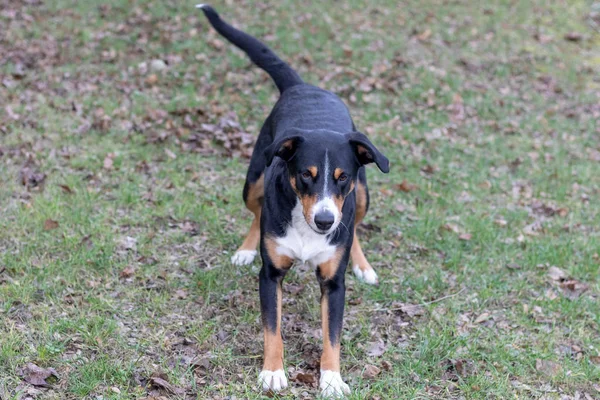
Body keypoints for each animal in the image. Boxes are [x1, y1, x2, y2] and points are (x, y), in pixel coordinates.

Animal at [199, 3, 390, 396]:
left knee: (356, 224)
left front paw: (331, 379)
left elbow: (332, 336)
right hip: (253, 180)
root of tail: (303, 86)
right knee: (256, 210)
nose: (325, 221)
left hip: (364, 195)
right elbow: (273, 329)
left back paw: (363, 265)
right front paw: (273, 372)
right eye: (306, 174)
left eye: (341, 176)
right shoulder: (271, 275)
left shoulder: (333, 284)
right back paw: (246, 248)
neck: (305, 225)